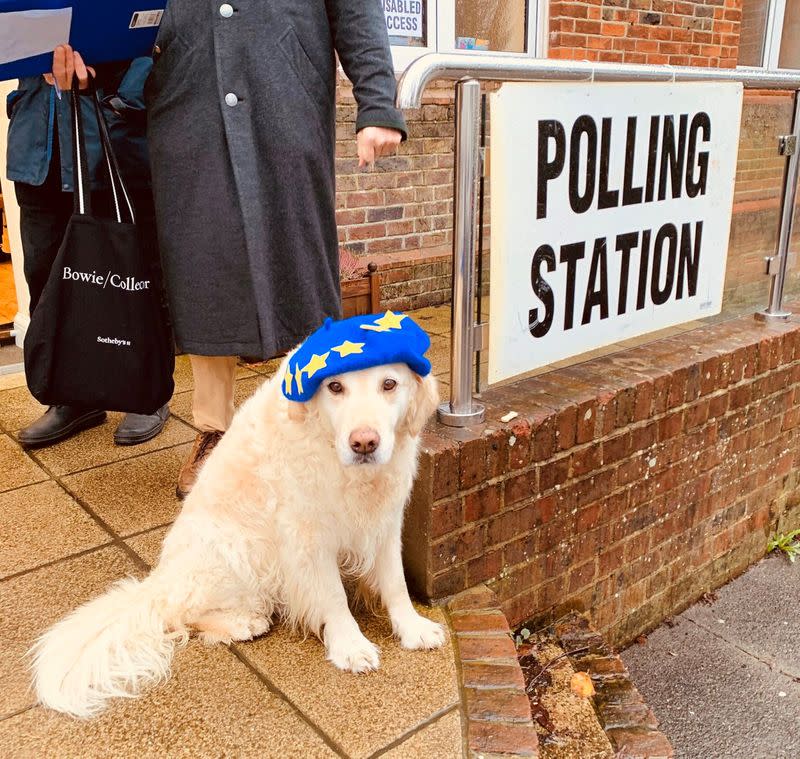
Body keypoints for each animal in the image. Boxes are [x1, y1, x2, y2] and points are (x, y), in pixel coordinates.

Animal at [32, 356, 444, 720]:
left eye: (389, 384)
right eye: (335, 387)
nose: (364, 443)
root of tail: (160, 583)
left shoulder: (385, 522)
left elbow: (395, 585)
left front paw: (412, 628)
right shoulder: (307, 536)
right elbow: (333, 597)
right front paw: (351, 646)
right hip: (238, 550)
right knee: (186, 614)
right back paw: (243, 624)